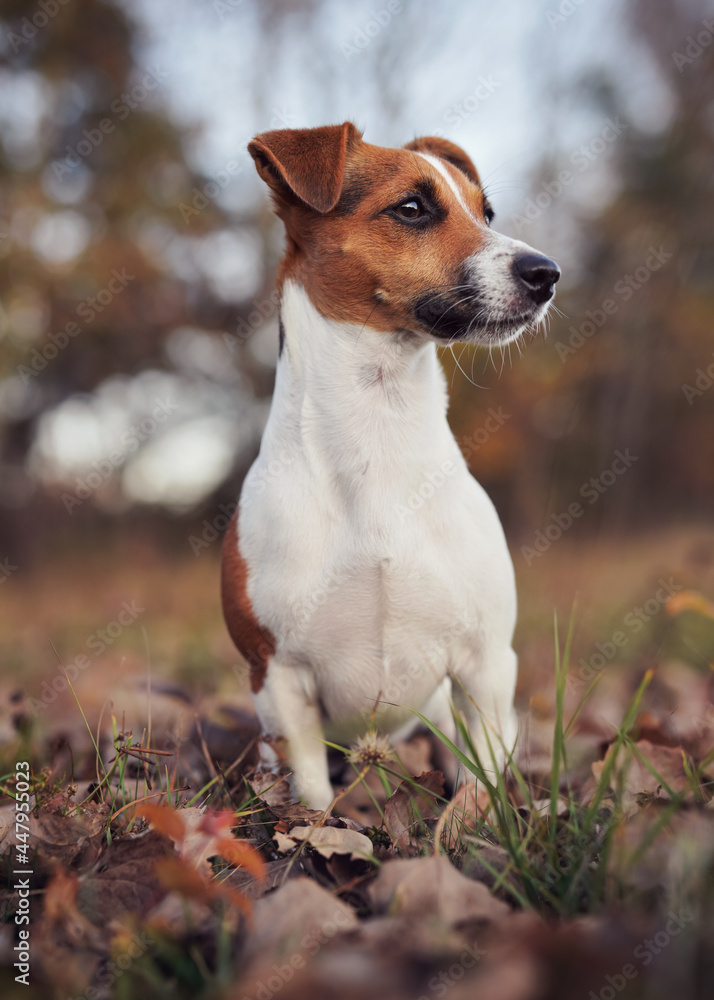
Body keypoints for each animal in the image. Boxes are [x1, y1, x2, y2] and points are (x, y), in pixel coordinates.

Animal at [220, 121, 560, 808]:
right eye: (412, 208)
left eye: (486, 212)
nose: (548, 272)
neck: (376, 431)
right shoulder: (278, 677)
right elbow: (312, 792)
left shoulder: (486, 663)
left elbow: (480, 782)